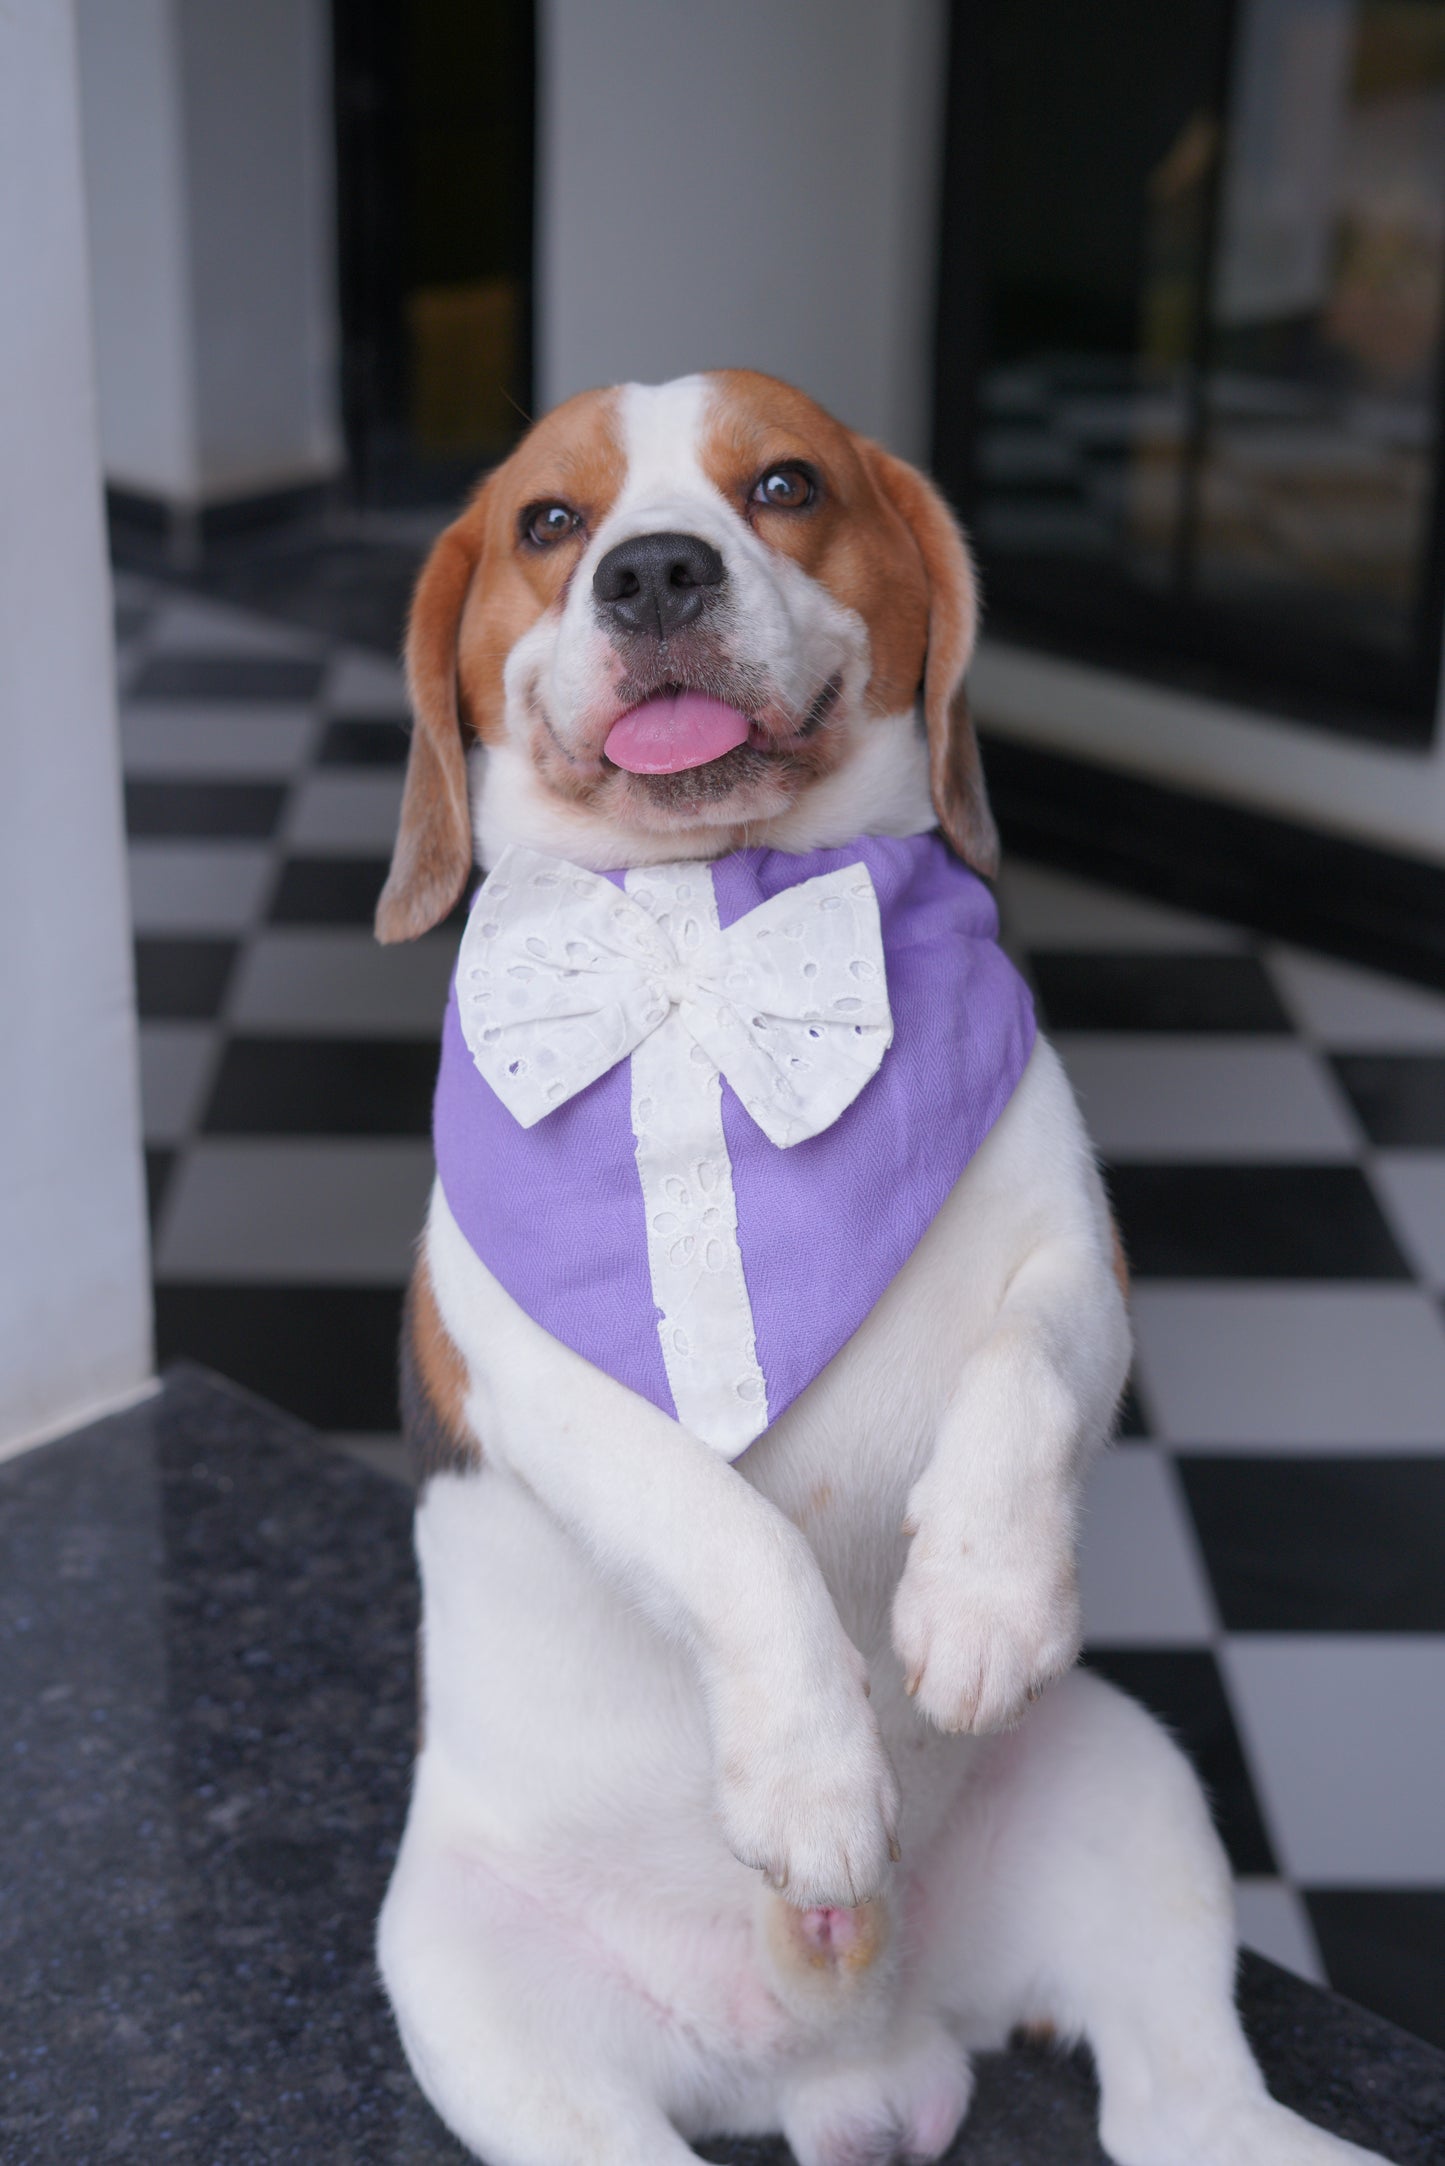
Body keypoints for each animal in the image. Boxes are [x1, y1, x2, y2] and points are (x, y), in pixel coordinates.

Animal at [372, 372, 1386, 2166]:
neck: (716, 913)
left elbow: (1019, 1377)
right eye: (548, 522)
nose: (652, 573)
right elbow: (728, 1535)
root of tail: (838, 2048)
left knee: (1182, 2103)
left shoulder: (1083, 1273)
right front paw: (813, 1776)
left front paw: (978, 1595)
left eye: (784, 485)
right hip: (474, 1996)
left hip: (1125, 1773)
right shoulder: (533, 1380)